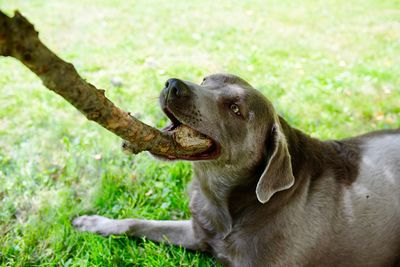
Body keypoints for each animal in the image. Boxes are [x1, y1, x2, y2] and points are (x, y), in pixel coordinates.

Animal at [72, 74, 400, 267]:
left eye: (235, 109)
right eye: (206, 79)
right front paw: (93, 222)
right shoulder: (198, 232)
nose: (172, 83)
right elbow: (138, 224)